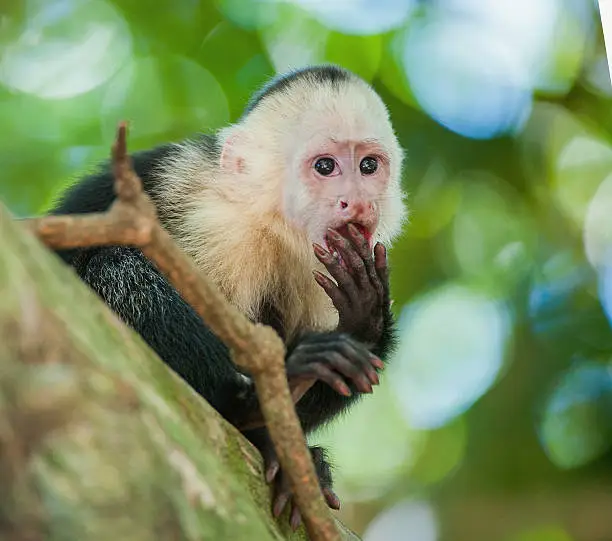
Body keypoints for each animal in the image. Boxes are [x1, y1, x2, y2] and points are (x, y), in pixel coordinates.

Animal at [51, 64, 406, 528]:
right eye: (325, 166)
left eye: (368, 166)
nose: (358, 202)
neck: (270, 222)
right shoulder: (217, 227)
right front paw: (264, 418)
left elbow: (354, 361)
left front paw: (362, 318)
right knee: (115, 267)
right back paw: (248, 402)